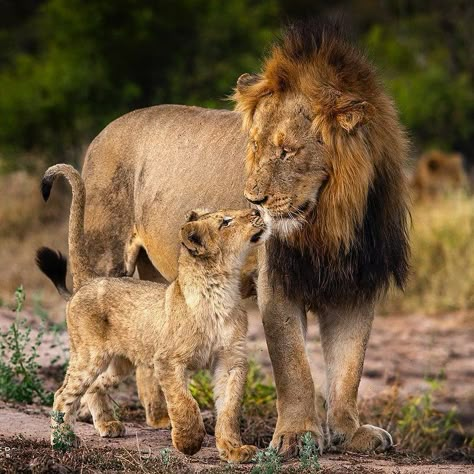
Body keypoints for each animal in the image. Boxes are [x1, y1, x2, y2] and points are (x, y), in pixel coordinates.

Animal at [37, 164, 268, 462]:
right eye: (225, 222)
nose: (257, 212)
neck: (222, 288)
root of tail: (89, 282)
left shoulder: (230, 360)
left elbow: (229, 409)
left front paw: (234, 450)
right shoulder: (168, 360)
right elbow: (184, 402)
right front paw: (189, 442)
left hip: (119, 362)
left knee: (94, 386)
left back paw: (108, 425)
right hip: (89, 355)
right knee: (64, 393)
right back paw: (63, 439)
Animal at [76, 22, 410, 456]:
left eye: (286, 151)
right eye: (254, 146)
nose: (253, 200)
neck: (332, 221)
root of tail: (102, 132)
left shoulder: (356, 286)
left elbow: (349, 368)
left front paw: (350, 433)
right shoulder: (278, 283)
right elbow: (293, 366)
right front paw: (297, 436)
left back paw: (161, 417)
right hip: (105, 255)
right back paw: (98, 416)